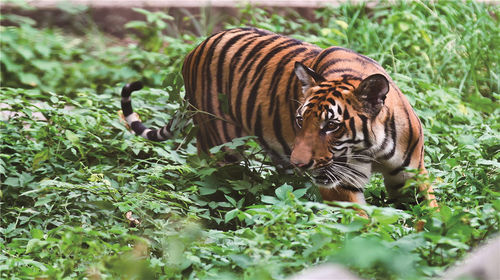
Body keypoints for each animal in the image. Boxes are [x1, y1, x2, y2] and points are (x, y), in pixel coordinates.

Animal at [121, 27, 438, 208]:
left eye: (331, 126)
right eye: (300, 121)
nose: (300, 163)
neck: (372, 148)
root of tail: (193, 49)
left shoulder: (410, 177)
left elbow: (431, 217)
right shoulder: (342, 183)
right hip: (221, 147)